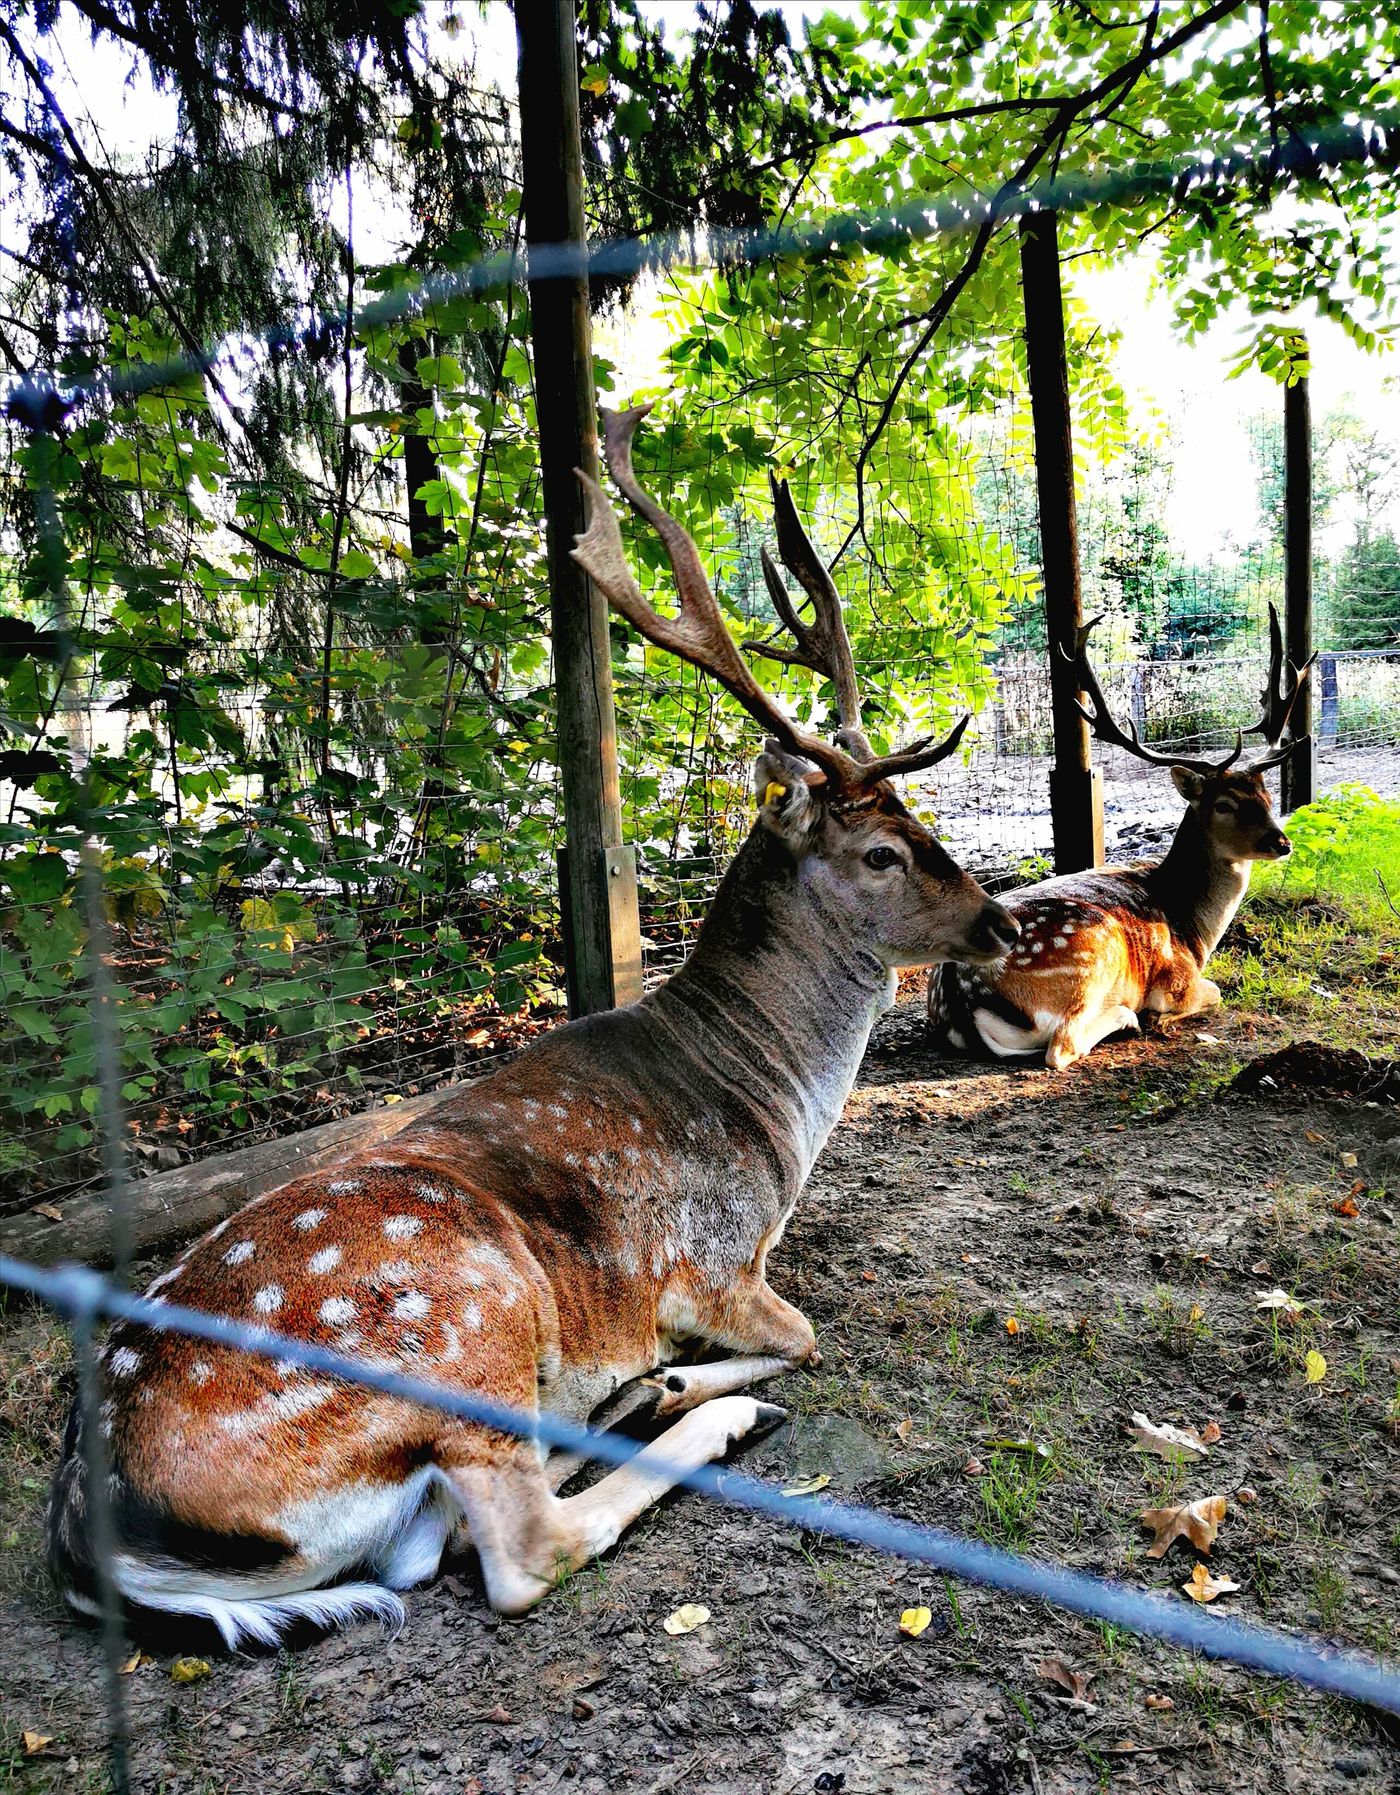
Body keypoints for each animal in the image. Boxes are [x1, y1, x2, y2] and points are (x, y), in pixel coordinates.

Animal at [49, 403, 1019, 1644]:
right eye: (883, 851)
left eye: (925, 816)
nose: (998, 919)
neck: (770, 1117)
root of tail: (94, 1532)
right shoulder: (713, 1266)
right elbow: (806, 1335)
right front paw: (684, 1379)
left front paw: (654, 1382)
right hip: (463, 1323)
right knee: (518, 1549)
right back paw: (689, 1412)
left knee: (446, 1539)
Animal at [926, 610, 1313, 1069]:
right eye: (1224, 804)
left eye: (1267, 797)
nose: (1281, 843)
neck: (1196, 930)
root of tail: (960, 998)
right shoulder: (1180, 978)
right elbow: (1213, 991)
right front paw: (1154, 1014)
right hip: (1092, 955)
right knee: (1062, 1046)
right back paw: (1127, 1016)